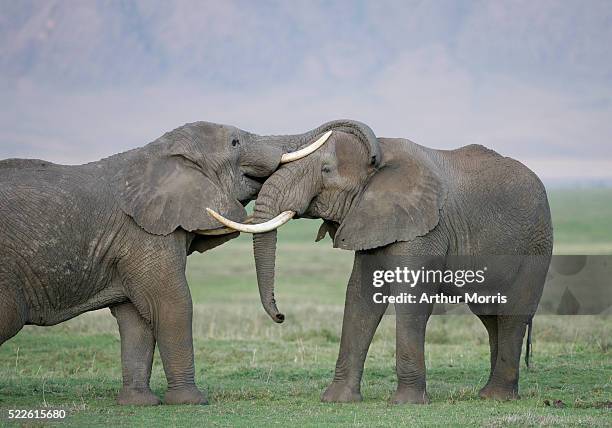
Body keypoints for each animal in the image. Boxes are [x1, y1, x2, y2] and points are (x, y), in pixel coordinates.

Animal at [0, 119, 354, 404]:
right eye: (235, 142)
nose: (281, 316)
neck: (159, 150)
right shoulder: (143, 233)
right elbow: (173, 303)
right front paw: (192, 401)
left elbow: (135, 319)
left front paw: (139, 404)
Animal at [210, 121, 556, 404]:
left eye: (326, 171)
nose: (280, 315)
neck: (384, 161)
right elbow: (360, 295)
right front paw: (336, 401)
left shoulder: (426, 226)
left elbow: (411, 297)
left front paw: (406, 403)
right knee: (489, 315)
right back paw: (489, 394)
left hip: (536, 246)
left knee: (512, 313)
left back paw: (497, 397)